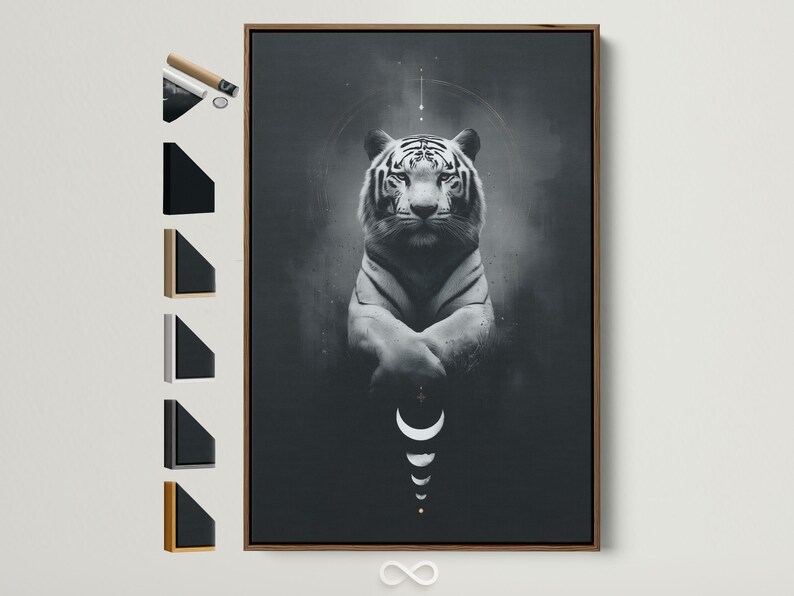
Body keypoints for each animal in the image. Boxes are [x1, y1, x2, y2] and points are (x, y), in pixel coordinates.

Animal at [348, 128, 495, 393]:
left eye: (445, 176)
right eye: (401, 176)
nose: (424, 209)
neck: (422, 258)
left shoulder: (477, 309)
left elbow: (436, 334)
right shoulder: (366, 308)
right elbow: (401, 338)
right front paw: (408, 375)